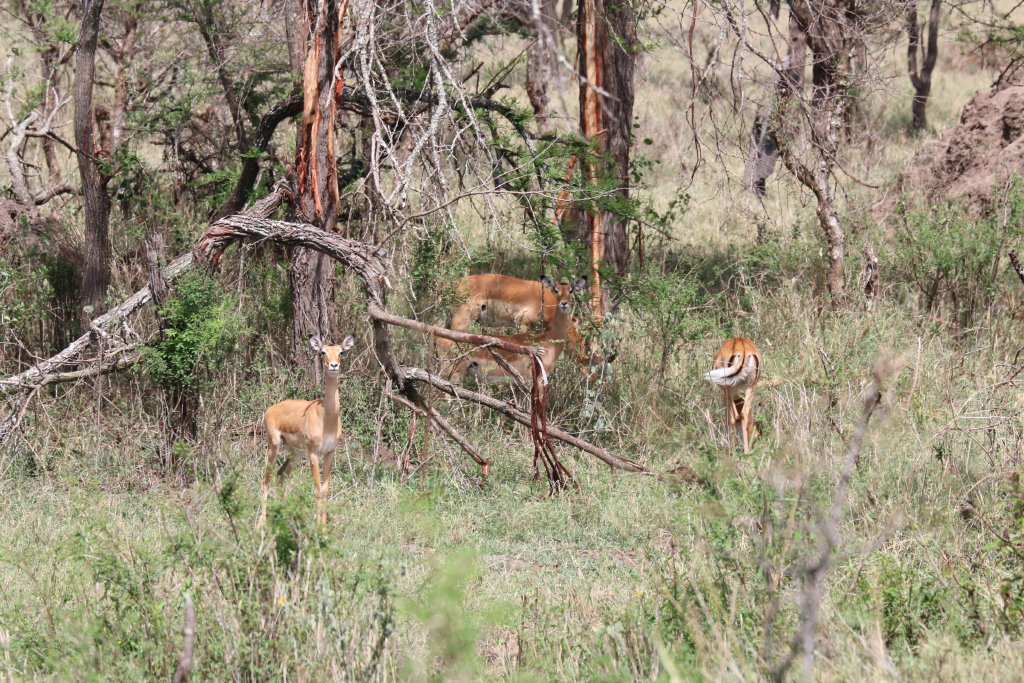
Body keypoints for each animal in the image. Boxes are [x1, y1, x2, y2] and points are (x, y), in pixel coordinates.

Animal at [258, 336, 355, 530]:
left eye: (341, 352)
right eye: (323, 352)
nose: (333, 365)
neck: (326, 416)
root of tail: (270, 409)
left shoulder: (330, 452)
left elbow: (326, 490)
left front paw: (324, 529)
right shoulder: (313, 453)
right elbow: (317, 489)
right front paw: (317, 528)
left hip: (295, 453)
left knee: (281, 475)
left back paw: (281, 517)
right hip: (274, 445)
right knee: (266, 478)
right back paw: (261, 524)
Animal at [440, 273, 607, 367]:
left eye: (571, 290)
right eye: (556, 290)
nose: (564, 303)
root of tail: (450, 285)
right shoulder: (522, 324)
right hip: (461, 323)